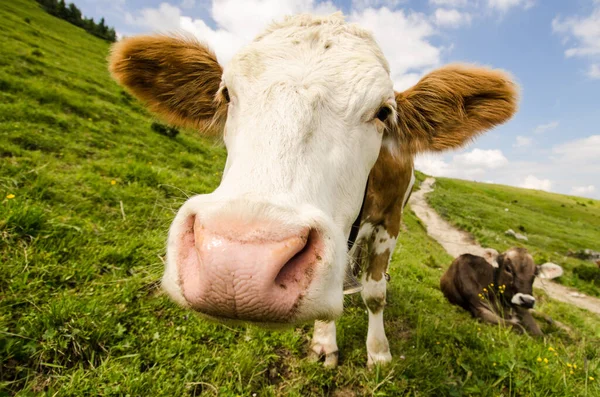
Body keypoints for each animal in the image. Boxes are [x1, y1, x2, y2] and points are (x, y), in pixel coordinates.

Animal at [109, 13, 520, 366]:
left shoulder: (390, 221)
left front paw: (379, 352)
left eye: (384, 112)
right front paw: (325, 342)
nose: (236, 265)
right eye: (225, 93)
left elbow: (375, 294)